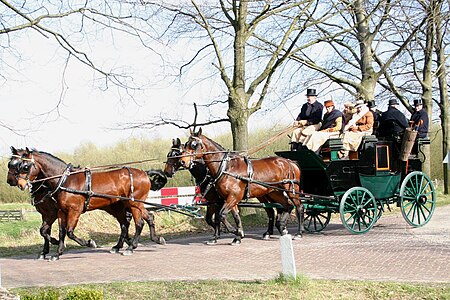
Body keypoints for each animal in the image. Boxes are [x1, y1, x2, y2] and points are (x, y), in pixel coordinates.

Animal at [7, 147, 166, 258]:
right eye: (11, 164)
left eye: (25, 166)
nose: (17, 183)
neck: (65, 180)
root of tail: (144, 173)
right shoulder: (60, 211)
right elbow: (59, 232)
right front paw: (57, 253)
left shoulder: (72, 211)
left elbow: (69, 232)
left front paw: (89, 243)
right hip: (124, 206)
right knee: (137, 220)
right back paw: (147, 240)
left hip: (135, 204)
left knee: (138, 223)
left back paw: (131, 247)